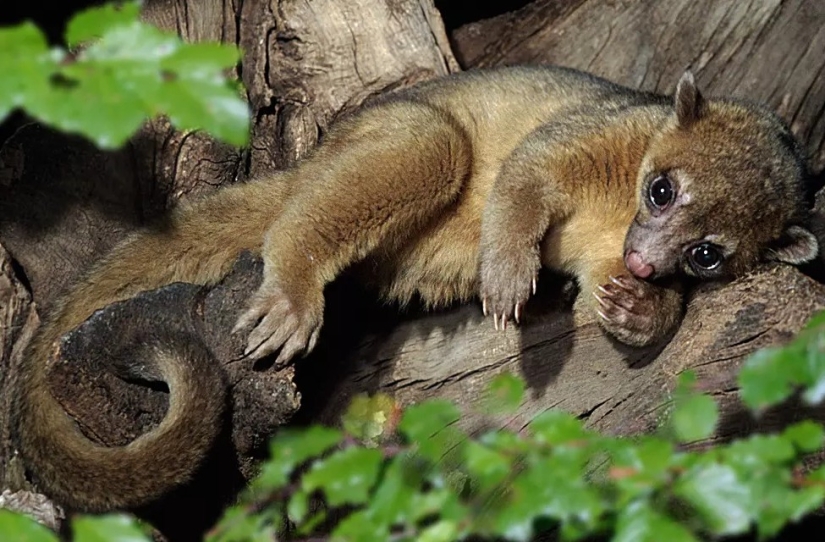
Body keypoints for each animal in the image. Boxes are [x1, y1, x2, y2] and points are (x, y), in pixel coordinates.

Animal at [12, 65, 819, 514]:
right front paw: (509, 274)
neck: (619, 206)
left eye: (707, 254)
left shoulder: (608, 246)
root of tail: (310, 159)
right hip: (396, 136)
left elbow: (607, 287)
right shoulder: (598, 133)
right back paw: (295, 287)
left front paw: (635, 309)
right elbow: (527, 171)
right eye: (661, 190)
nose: (649, 264)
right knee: (380, 176)